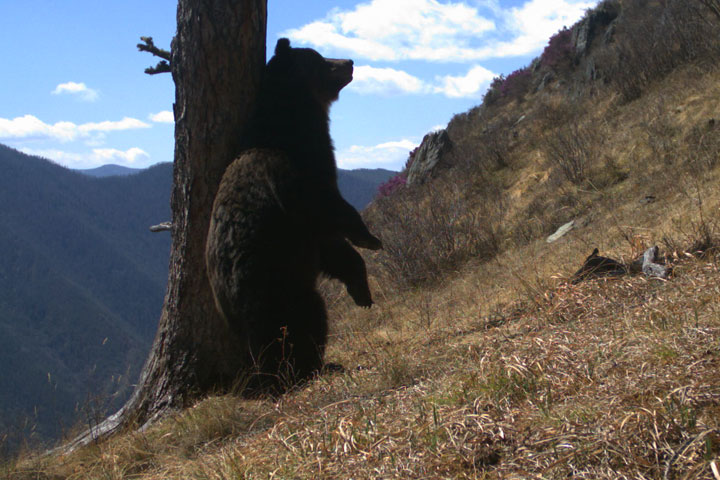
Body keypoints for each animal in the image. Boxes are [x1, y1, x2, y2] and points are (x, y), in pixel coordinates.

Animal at [204, 38, 382, 394]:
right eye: (319, 58)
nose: (349, 62)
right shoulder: (299, 183)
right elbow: (331, 214)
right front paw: (369, 238)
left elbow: (334, 252)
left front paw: (361, 292)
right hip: (276, 288)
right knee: (308, 319)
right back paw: (309, 367)